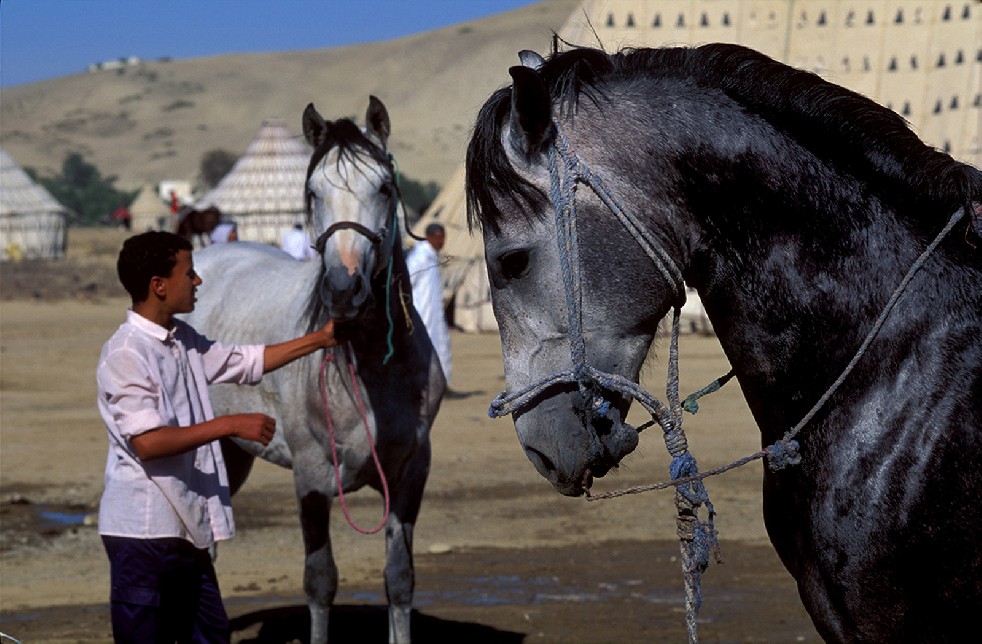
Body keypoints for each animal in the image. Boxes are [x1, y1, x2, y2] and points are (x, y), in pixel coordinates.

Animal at [185, 97, 446, 644]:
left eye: (384, 187)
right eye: (311, 191)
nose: (344, 290)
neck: (371, 372)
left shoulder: (410, 475)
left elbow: (400, 580)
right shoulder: (312, 476)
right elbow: (321, 582)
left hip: (231, 451)